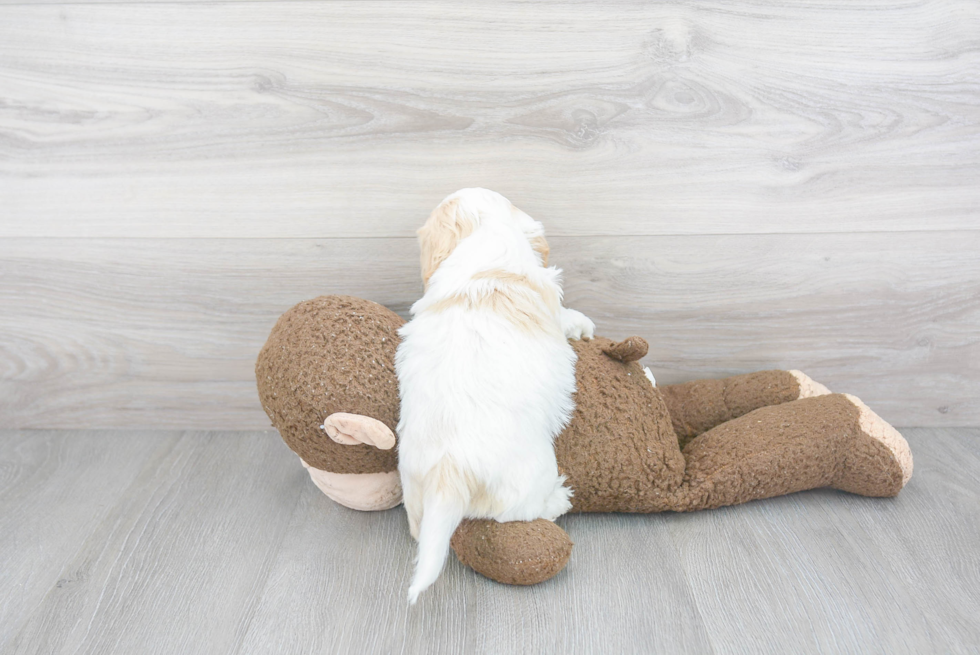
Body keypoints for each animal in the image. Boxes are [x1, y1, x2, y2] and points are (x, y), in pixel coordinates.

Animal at [394, 187, 592, 604]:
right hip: (534, 472)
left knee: (420, 531)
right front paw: (583, 324)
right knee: (522, 512)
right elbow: (566, 315)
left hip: (414, 489)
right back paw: (560, 497)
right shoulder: (550, 298)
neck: (486, 243)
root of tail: (449, 471)